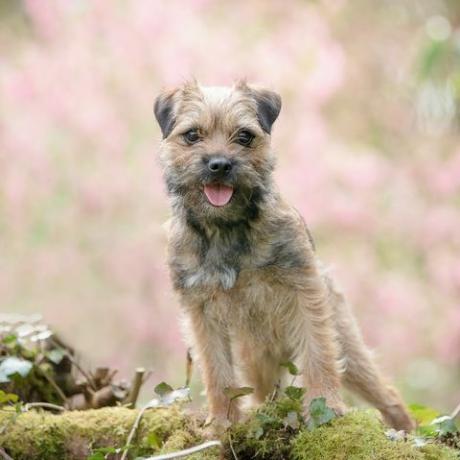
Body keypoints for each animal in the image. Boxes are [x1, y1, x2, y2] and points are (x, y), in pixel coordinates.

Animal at [154, 81, 414, 434]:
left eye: (245, 136)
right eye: (192, 135)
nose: (219, 164)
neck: (226, 228)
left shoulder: (304, 292)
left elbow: (318, 354)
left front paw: (326, 407)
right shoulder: (201, 311)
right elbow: (217, 370)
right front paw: (222, 424)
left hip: (346, 343)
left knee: (385, 392)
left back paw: (404, 429)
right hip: (256, 358)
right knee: (264, 392)